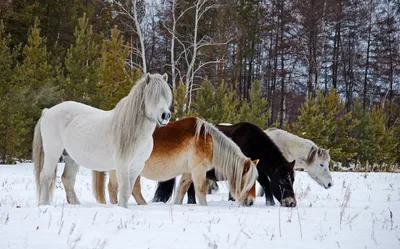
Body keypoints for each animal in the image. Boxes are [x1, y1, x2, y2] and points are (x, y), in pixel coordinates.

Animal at [32, 72, 172, 208]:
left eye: (166, 95)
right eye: (152, 96)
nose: (165, 115)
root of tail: (48, 111)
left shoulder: (136, 167)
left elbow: (129, 190)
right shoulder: (122, 165)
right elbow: (125, 190)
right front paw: (122, 208)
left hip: (71, 158)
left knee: (67, 178)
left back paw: (75, 204)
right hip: (52, 153)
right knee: (46, 176)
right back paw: (44, 205)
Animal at [61, 116, 258, 206]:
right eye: (248, 181)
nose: (250, 202)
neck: (207, 140)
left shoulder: (188, 173)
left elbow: (181, 191)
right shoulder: (198, 171)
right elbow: (201, 192)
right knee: (114, 189)